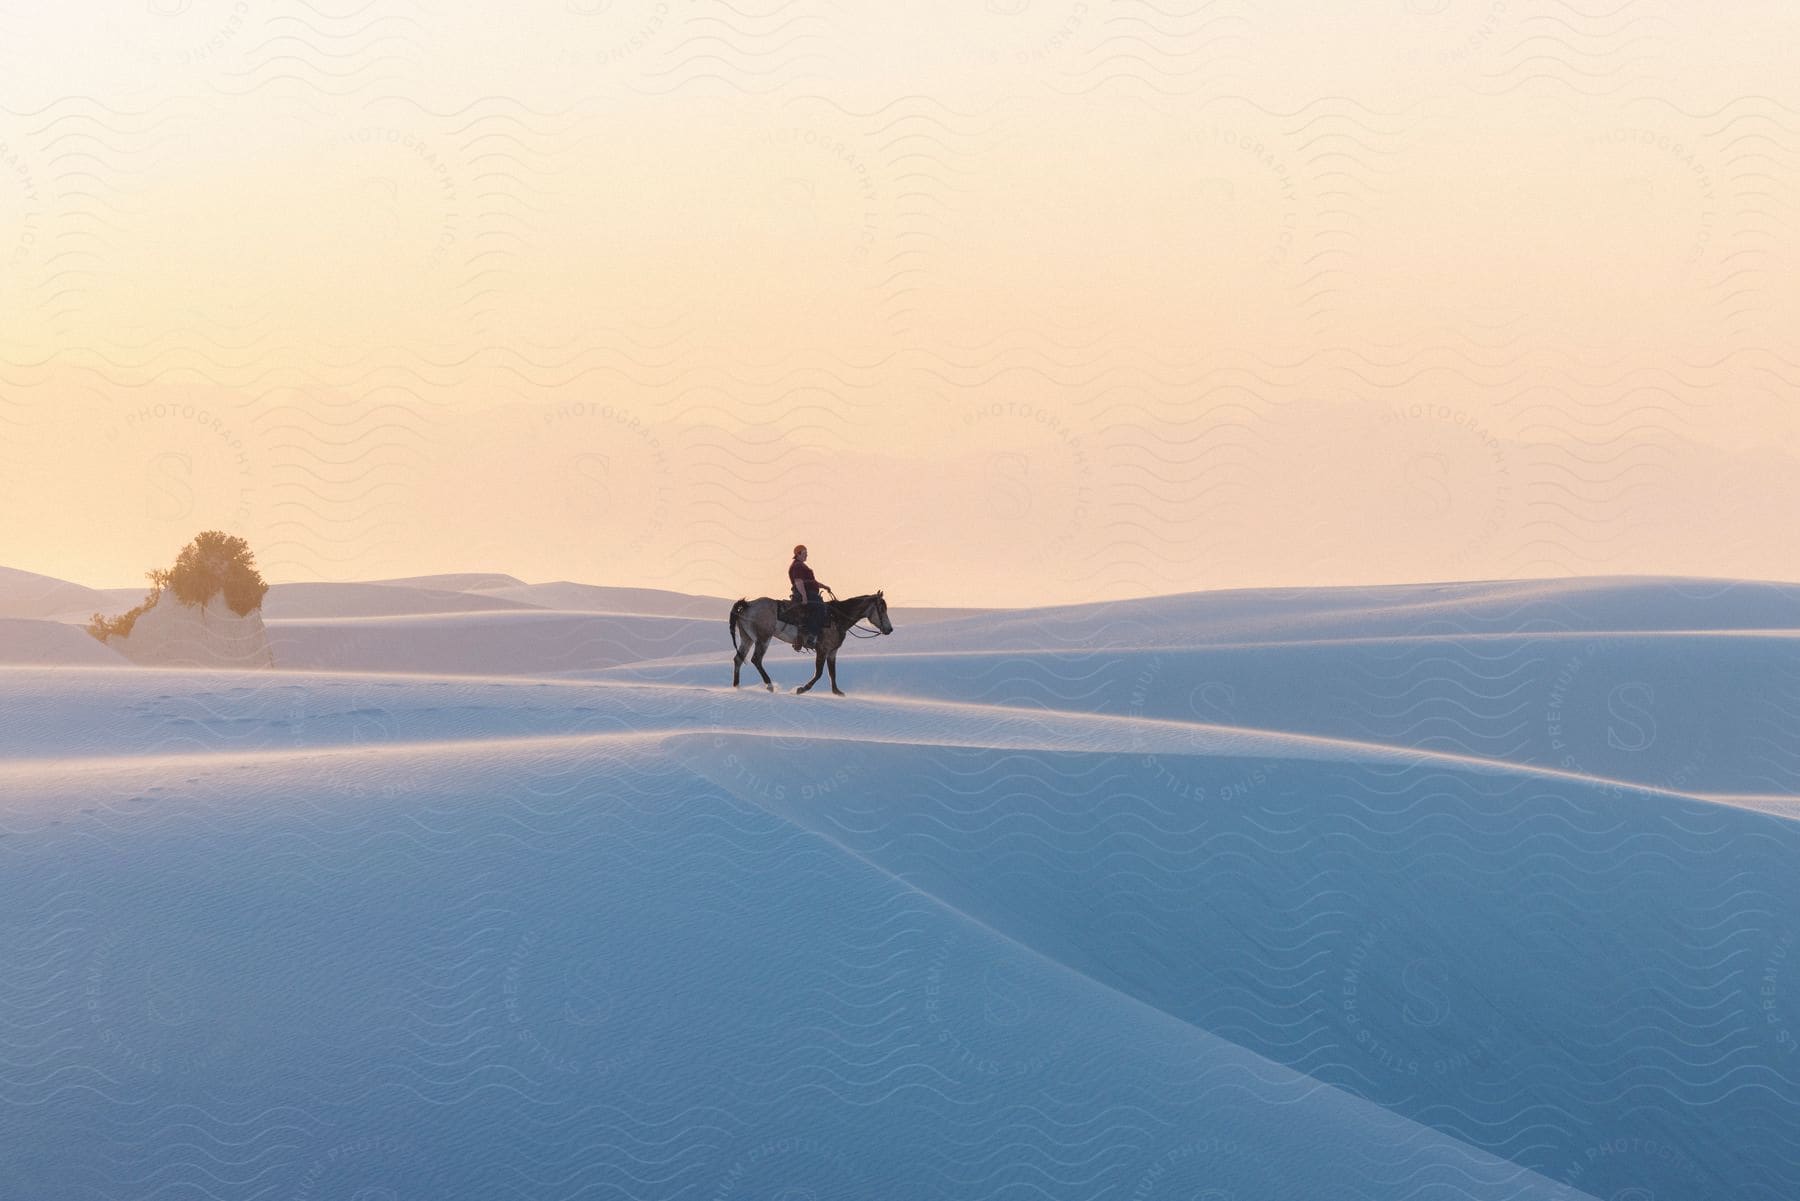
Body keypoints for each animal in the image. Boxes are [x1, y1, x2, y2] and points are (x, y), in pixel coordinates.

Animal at [730, 590, 892, 695]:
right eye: (882, 608)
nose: (889, 629)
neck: (837, 618)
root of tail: (748, 605)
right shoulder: (822, 649)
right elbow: (819, 673)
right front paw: (801, 689)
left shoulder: (832, 651)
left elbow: (832, 672)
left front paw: (837, 692)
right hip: (763, 639)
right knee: (756, 659)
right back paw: (769, 686)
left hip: (747, 638)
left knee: (738, 659)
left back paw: (736, 686)